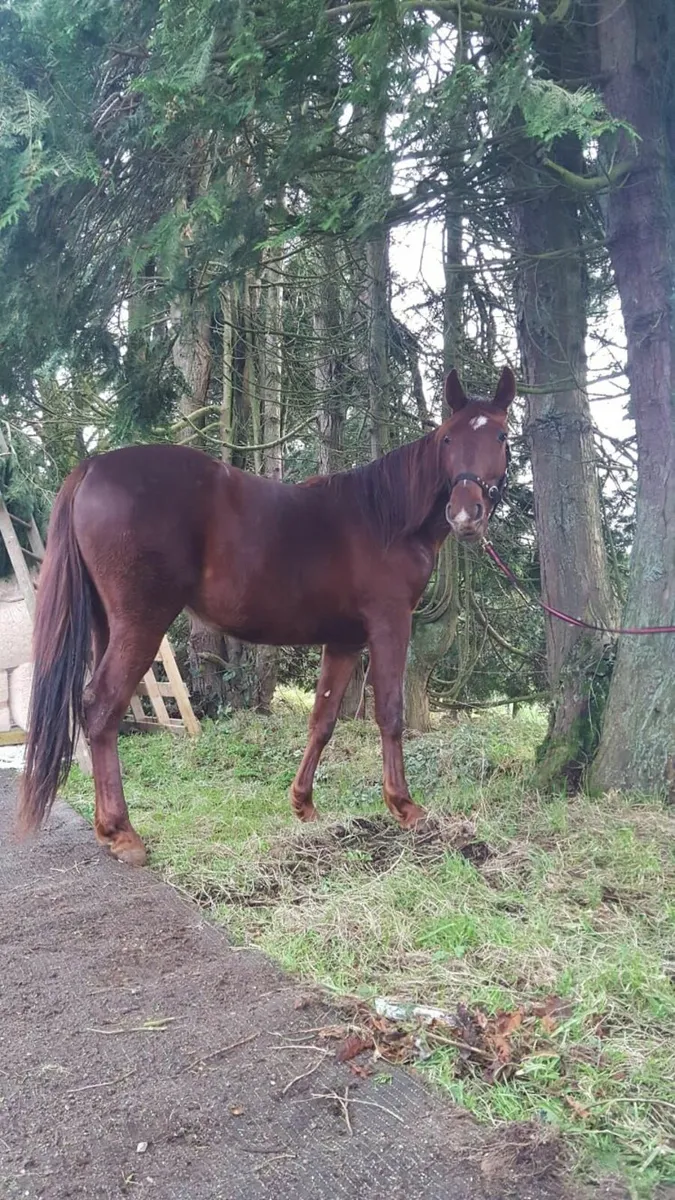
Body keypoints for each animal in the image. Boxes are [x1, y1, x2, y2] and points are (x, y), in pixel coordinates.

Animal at [19, 367, 515, 866]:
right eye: (448, 439)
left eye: (500, 435)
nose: (466, 514)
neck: (384, 520)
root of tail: (92, 468)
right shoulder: (390, 625)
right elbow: (390, 713)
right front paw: (404, 806)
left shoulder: (345, 640)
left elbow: (323, 719)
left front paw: (303, 803)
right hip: (141, 623)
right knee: (101, 707)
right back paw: (123, 832)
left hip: (107, 626)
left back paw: (107, 827)